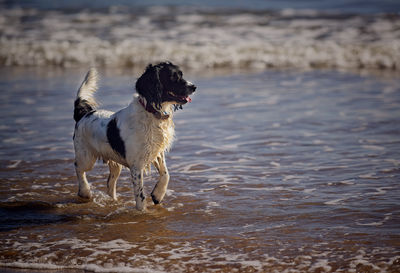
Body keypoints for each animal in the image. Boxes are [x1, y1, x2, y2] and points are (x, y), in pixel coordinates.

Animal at [73, 62, 197, 210]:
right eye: (173, 77)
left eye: (181, 75)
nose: (194, 87)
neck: (152, 114)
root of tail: (84, 114)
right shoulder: (136, 165)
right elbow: (140, 194)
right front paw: (143, 211)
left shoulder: (156, 151)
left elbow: (166, 174)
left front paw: (157, 195)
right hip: (86, 157)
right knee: (78, 167)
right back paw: (85, 191)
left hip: (115, 163)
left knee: (110, 182)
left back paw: (113, 201)